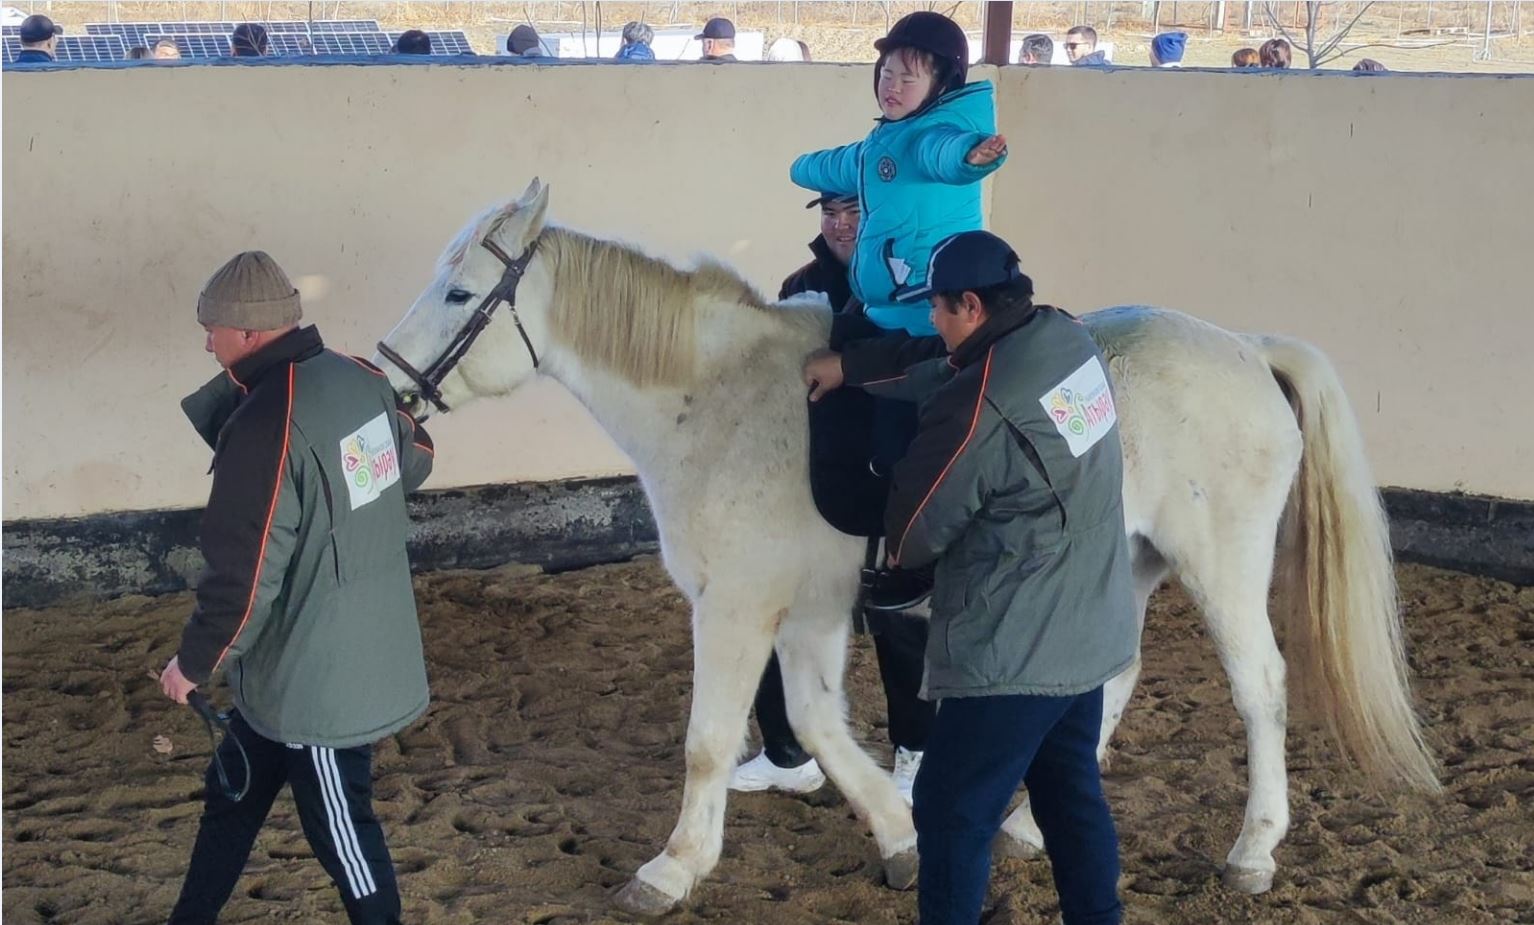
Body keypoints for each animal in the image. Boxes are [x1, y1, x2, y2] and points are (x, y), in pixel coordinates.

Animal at [371, 182, 1435, 920]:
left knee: (1259, 686)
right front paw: (900, 832)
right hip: (1119, 564)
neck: (716, 400)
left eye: (461, 290)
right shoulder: (799, 610)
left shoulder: (735, 606)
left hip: (1221, 562)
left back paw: (1253, 850)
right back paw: (1025, 823)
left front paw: (671, 868)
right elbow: (818, 723)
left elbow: (711, 739)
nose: (391, 385)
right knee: (1110, 676)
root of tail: (1246, 348)